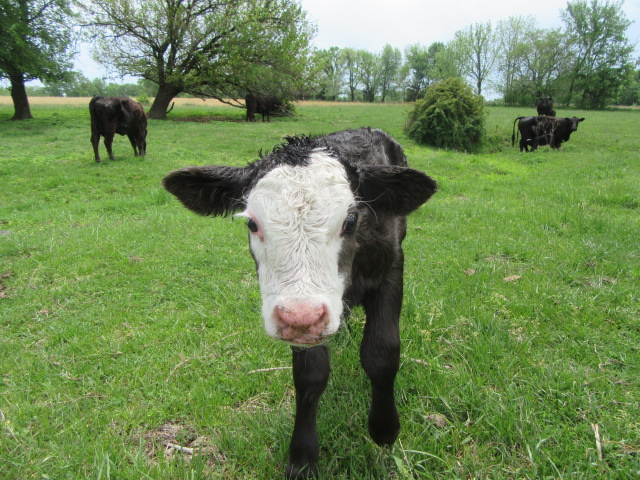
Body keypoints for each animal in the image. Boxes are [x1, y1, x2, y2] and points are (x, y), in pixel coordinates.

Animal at [163, 128, 437, 479]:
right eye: (251, 223)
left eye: (350, 220)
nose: (302, 317)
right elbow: (310, 373)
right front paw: (303, 459)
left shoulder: (391, 268)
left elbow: (382, 353)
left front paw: (385, 429)